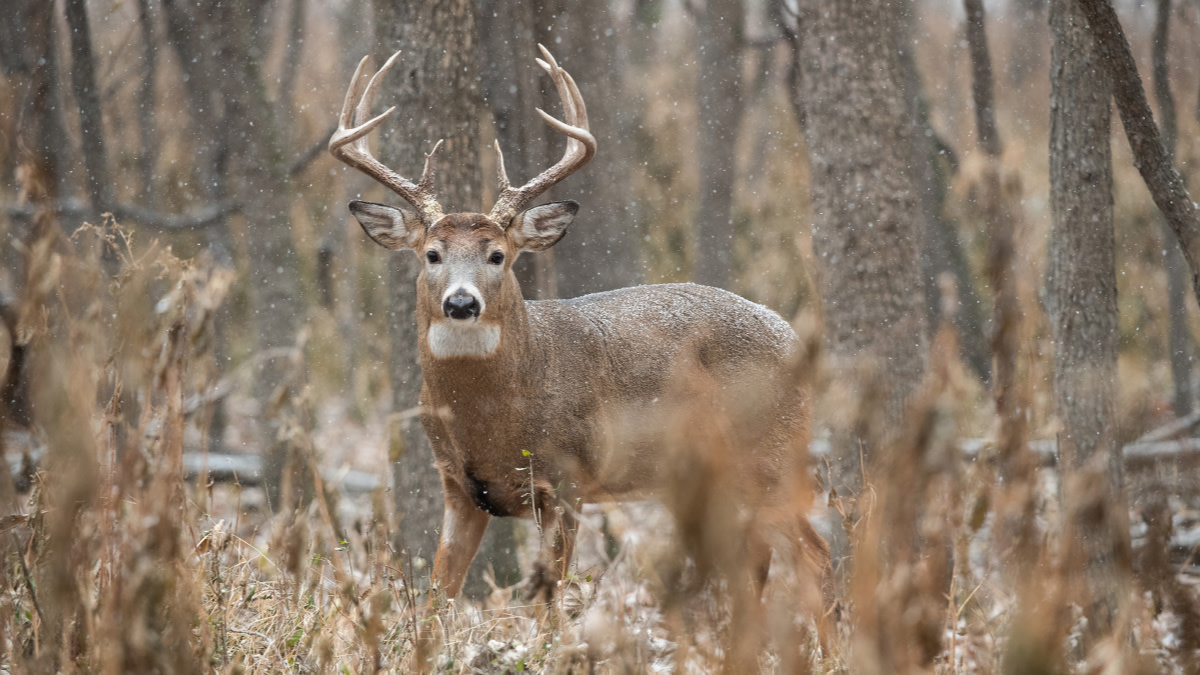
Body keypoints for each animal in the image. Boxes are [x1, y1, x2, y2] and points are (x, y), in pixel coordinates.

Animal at [328, 43, 835, 610]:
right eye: (432, 254)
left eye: (498, 255)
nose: (461, 302)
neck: (492, 416)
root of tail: (794, 337)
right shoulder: (458, 487)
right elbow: (440, 593)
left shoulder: (568, 479)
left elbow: (552, 602)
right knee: (756, 562)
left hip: (770, 456)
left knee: (816, 557)